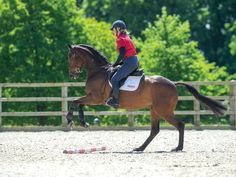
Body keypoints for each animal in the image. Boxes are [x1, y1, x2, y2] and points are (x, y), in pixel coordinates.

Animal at [66, 44, 227, 151]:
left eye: (70, 56)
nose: (72, 74)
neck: (98, 71)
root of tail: (173, 83)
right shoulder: (93, 98)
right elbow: (78, 103)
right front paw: (82, 122)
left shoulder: (96, 98)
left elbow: (75, 102)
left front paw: (72, 120)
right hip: (154, 110)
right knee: (155, 130)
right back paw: (140, 148)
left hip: (163, 111)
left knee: (180, 125)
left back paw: (177, 148)